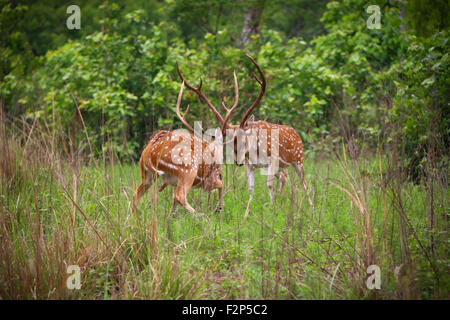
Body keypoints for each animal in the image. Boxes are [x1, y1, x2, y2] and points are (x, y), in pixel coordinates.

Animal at [132, 81, 227, 214]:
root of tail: (147, 153)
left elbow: (173, 202)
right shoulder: (208, 180)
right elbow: (221, 184)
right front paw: (218, 208)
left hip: (146, 174)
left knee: (136, 195)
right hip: (187, 168)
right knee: (180, 196)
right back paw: (199, 216)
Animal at [178, 54, 312, 205]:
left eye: (244, 139)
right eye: (229, 143)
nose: (238, 162)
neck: (255, 152)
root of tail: (297, 134)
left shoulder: (272, 159)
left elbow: (269, 185)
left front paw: (272, 207)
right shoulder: (250, 165)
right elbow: (251, 188)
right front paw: (249, 206)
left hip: (299, 159)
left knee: (304, 183)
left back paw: (310, 205)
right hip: (282, 166)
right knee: (284, 176)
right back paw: (283, 198)